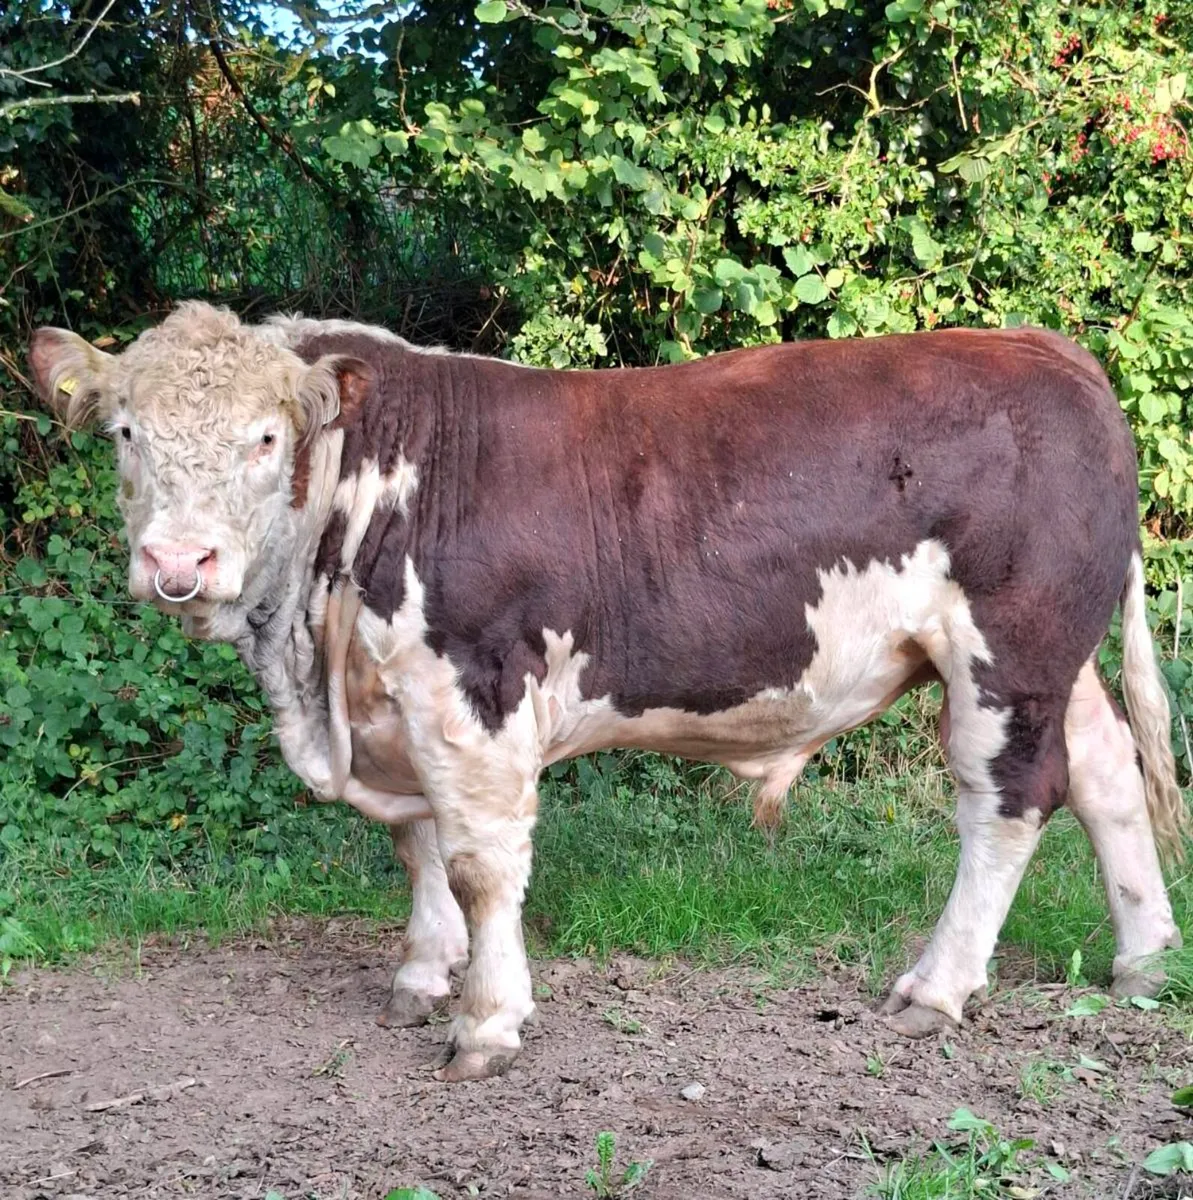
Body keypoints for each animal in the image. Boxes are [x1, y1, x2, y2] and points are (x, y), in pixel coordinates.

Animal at [28, 302, 1187, 1081]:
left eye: (264, 439)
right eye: (126, 433)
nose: (179, 562)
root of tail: (1045, 347)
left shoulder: (473, 685)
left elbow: (479, 863)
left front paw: (486, 1021)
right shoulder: (392, 702)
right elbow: (415, 844)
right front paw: (422, 976)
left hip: (1006, 650)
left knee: (1008, 801)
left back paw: (935, 988)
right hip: (1057, 656)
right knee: (1105, 772)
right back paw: (1141, 960)